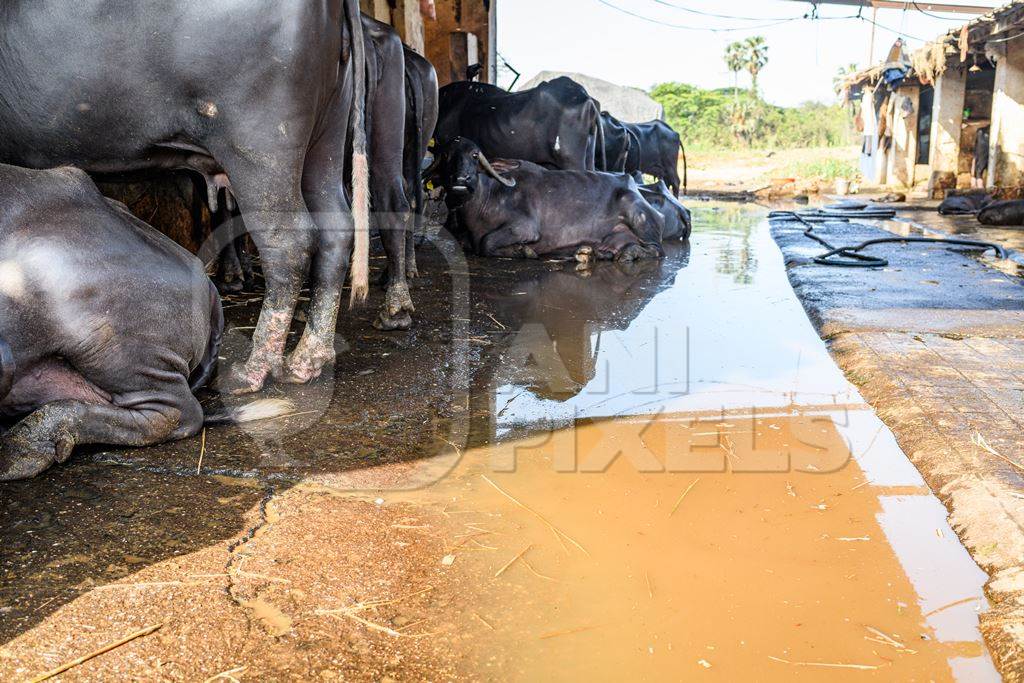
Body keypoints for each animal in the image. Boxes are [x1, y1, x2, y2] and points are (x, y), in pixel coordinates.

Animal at [0, 0, 368, 393]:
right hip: (327, 132)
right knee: (336, 227)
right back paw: (306, 361)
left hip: (260, 141)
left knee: (288, 242)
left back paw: (252, 371)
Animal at [430, 139, 663, 262]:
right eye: (447, 156)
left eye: (475, 156)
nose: (461, 179)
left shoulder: (525, 228)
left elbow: (486, 243)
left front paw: (523, 251)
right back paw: (590, 252)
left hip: (638, 216)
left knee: (656, 250)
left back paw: (628, 254)